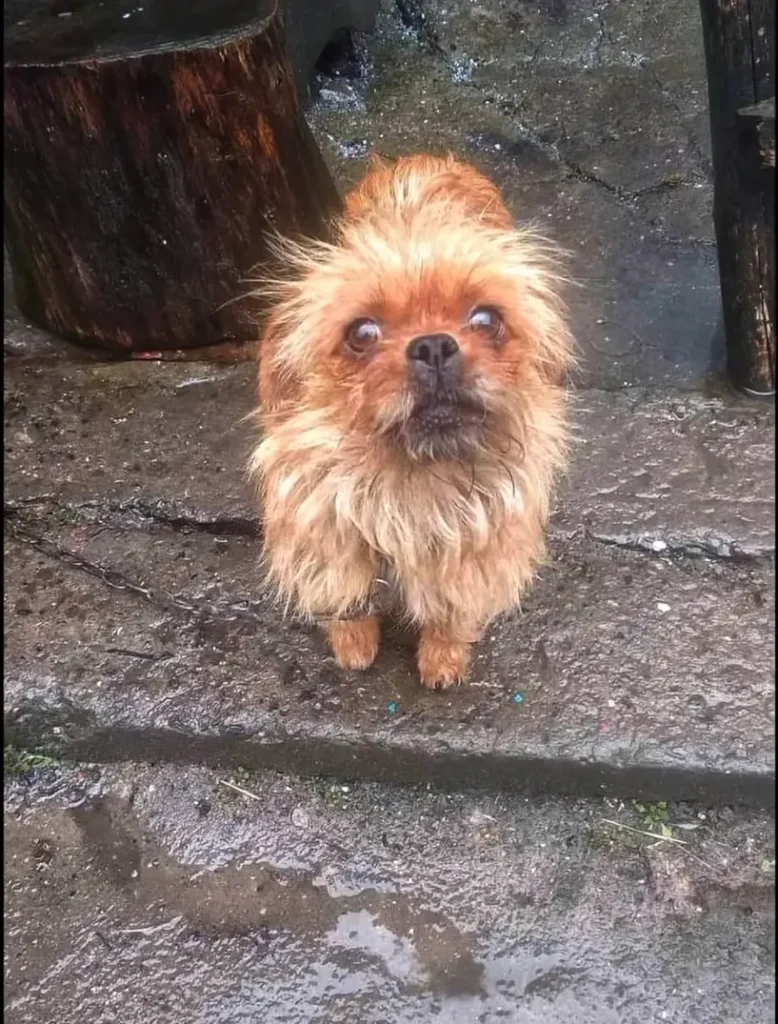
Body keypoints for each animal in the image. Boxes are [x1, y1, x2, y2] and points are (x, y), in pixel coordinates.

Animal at [248, 151, 573, 692]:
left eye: (487, 320)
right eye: (361, 333)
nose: (434, 345)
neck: (411, 483)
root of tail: (426, 157)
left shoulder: (475, 553)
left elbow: (451, 612)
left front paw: (442, 658)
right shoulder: (327, 533)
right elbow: (347, 596)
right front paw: (354, 644)